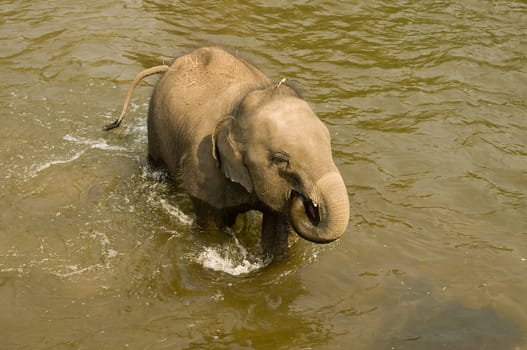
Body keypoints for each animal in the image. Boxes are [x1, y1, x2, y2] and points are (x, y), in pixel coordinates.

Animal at [104, 46, 348, 258]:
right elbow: (213, 228)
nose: (307, 202)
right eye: (280, 159)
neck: (243, 105)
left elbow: (276, 233)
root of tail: (169, 67)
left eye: (329, 146)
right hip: (155, 125)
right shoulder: (203, 168)